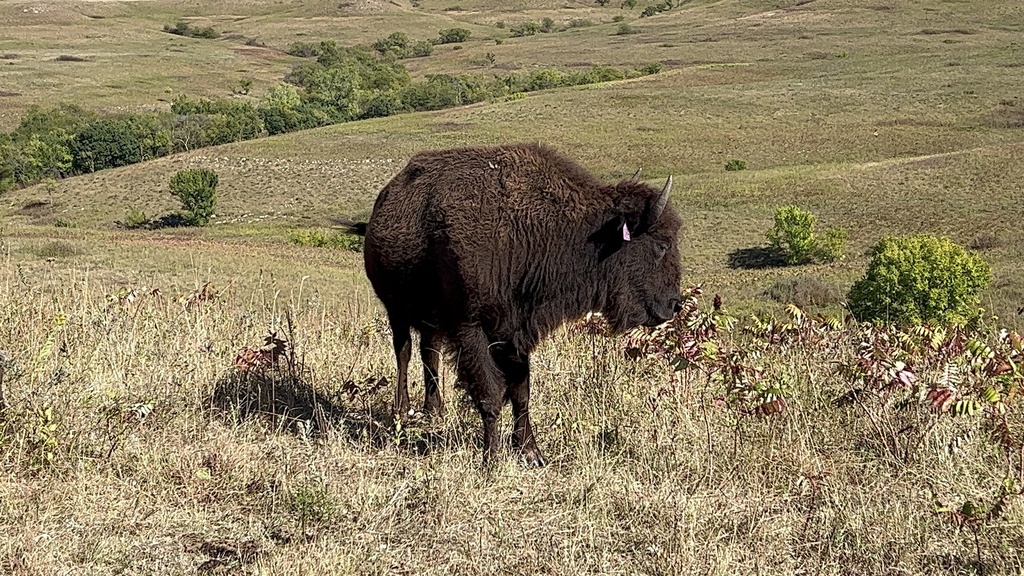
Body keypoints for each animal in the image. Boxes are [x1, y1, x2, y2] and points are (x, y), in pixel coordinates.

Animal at [354, 143, 682, 466]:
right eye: (662, 244)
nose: (674, 304)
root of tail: (383, 200)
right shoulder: (471, 328)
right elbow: (490, 393)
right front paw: (492, 459)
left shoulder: (516, 332)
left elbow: (521, 391)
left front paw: (531, 452)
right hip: (396, 310)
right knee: (404, 351)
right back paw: (402, 410)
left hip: (430, 320)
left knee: (428, 353)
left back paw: (434, 411)